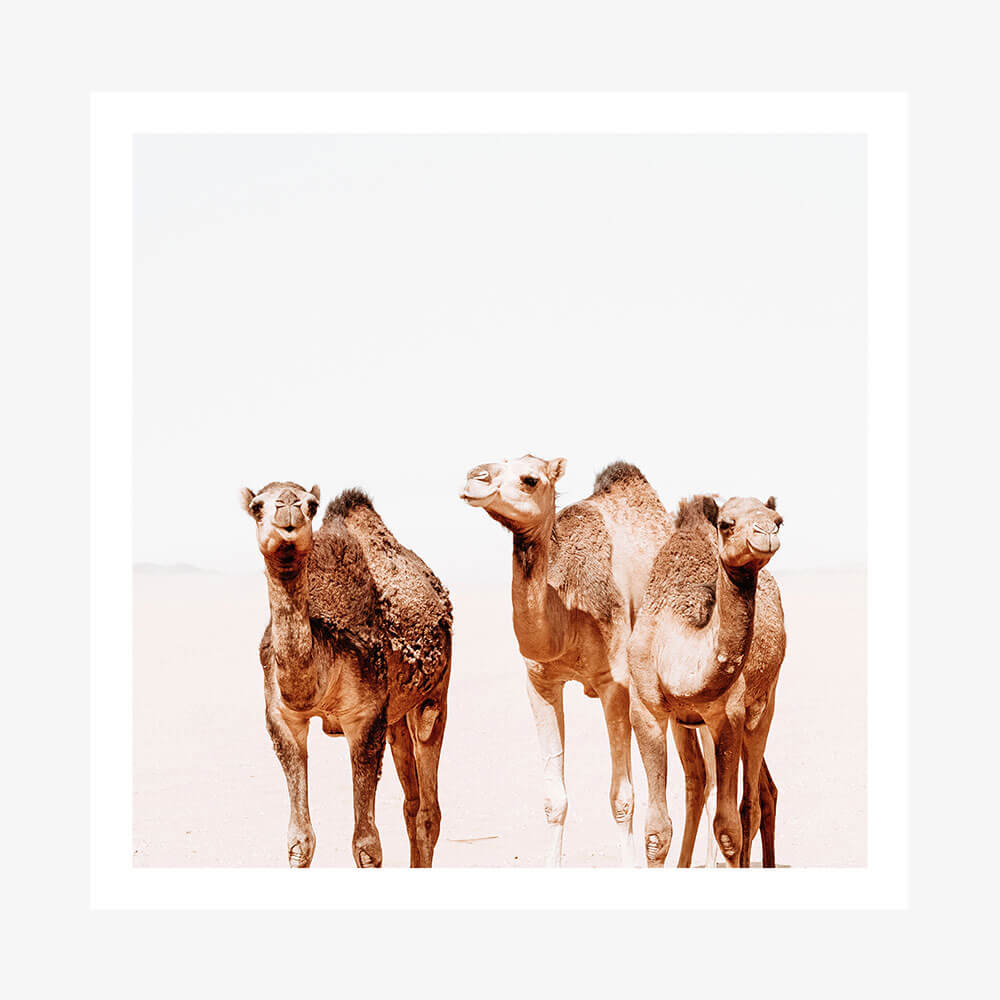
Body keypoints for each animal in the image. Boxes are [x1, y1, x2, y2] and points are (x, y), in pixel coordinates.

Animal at [240, 481, 452, 868]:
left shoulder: (365, 719)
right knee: (411, 803)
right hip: (395, 718)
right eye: (256, 506)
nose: (288, 506)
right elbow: (299, 840)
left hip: (434, 697)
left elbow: (367, 845)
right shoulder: (283, 717)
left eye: (311, 505)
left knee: (429, 811)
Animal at [461, 457, 670, 866]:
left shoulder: (614, 684)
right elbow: (554, 800)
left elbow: (622, 799)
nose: (475, 477)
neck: (569, 611)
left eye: (530, 479)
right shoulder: (540, 683)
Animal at [628, 494, 786, 868]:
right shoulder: (647, 710)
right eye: (726, 525)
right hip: (685, 723)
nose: (766, 534)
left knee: (751, 804)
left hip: (763, 703)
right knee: (701, 780)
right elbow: (656, 832)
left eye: (779, 521)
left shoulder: (728, 717)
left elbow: (728, 830)